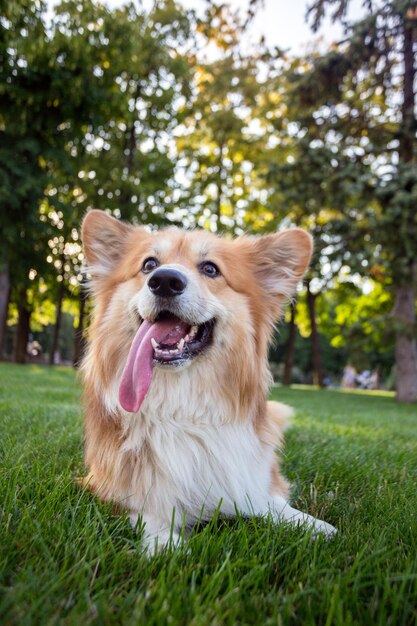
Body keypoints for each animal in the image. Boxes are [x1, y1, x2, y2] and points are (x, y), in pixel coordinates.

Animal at [80, 210, 334, 552]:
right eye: (148, 264)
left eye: (210, 268)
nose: (164, 280)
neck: (182, 405)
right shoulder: (107, 485)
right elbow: (148, 509)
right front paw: (167, 547)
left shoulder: (250, 473)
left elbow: (271, 499)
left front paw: (315, 525)